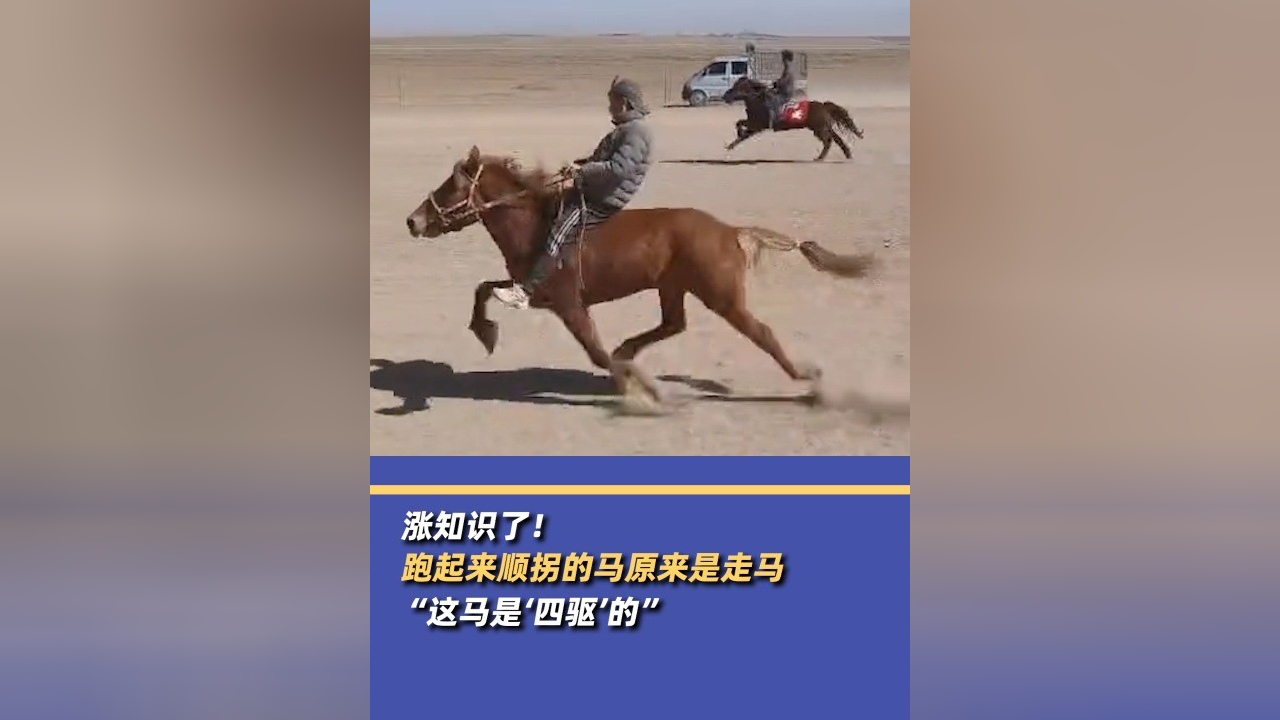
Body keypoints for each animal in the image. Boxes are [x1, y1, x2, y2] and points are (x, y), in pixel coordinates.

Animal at [404, 146, 877, 409]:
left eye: (450, 185)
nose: (412, 221)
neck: (537, 226)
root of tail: (729, 230)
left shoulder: (569, 304)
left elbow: (596, 353)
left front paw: (645, 392)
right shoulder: (534, 293)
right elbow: (483, 289)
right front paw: (485, 333)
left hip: (721, 297)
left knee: (760, 332)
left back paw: (809, 381)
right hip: (673, 287)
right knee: (674, 323)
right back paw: (630, 349)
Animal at [721, 76, 865, 161]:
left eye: (738, 87)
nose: (725, 96)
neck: (759, 101)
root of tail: (824, 106)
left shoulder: (758, 125)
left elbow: (741, 126)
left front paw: (736, 137)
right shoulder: (754, 125)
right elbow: (741, 129)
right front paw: (730, 145)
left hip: (819, 129)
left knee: (828, 141)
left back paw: (819, 158)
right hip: (824, 127)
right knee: (837, 139)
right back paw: (847, 154)